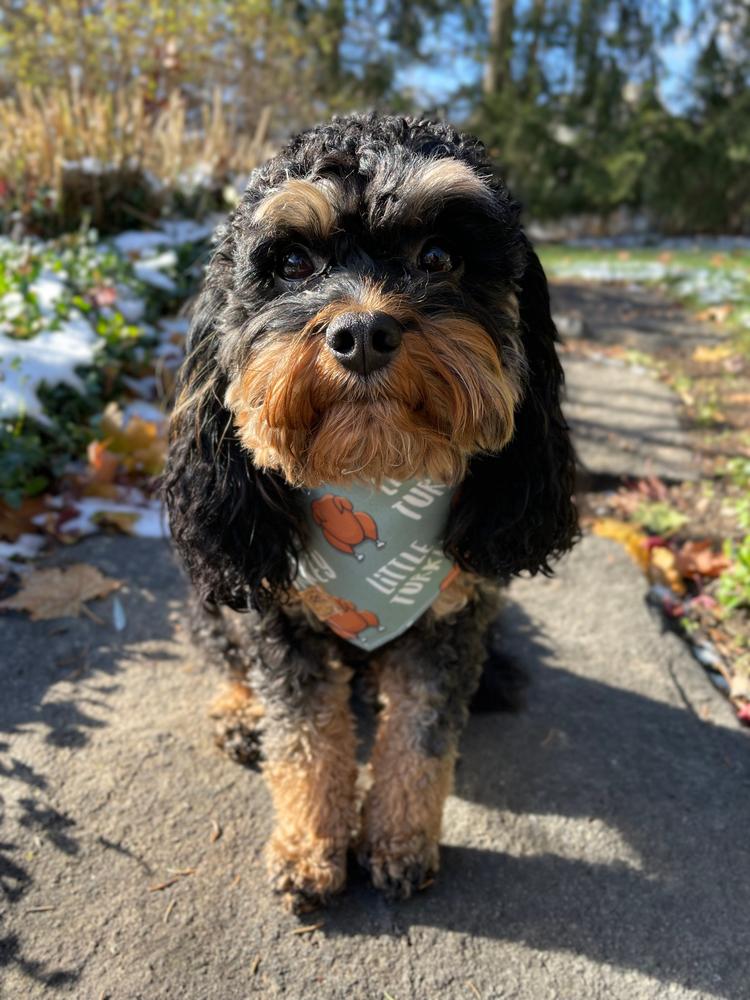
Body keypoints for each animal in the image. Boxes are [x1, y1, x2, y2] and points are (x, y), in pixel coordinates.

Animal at [163, 113, 576, 912]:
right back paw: (239, 713)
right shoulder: (279, 620)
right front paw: (311, 848)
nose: (361, 333)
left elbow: (418, 739)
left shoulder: (450, 624)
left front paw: (399, 842)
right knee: (220, 646)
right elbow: (305, 740)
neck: (376, 483)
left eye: (440, 256)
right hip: (216, 590)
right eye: (292, 262)